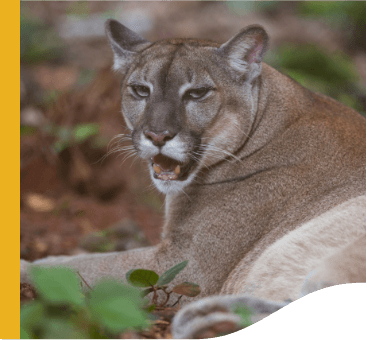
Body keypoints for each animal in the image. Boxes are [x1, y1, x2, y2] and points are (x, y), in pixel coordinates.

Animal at [20, 20, 367, 338]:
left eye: (198, 93)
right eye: (141, 90)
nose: (158, 135)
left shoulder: (185, 264)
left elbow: (83, 266)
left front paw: (24, 267)